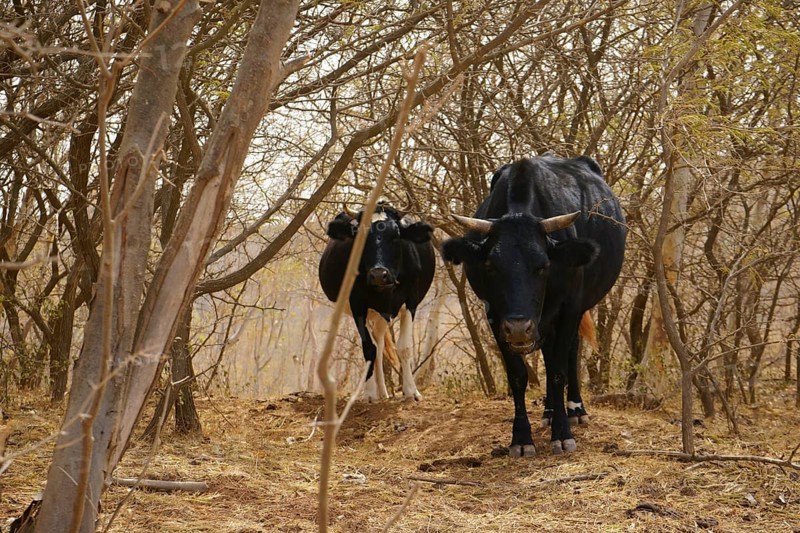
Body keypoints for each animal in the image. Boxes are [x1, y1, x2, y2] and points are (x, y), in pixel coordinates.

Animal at [318, 203, 435, 401]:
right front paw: (370, 393)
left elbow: (404, 348)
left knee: (380, 343)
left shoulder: (411, 301)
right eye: (361, 238)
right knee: (376, 345)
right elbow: (368, 349)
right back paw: (379, 391)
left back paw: (383, 391)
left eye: (396, 237)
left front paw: (411, 391)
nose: (379, 274)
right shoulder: (357, 304)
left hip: (382, 314)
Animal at [441, 155, 626, 456]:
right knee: (550, 355)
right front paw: (521, 438)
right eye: (491, 266)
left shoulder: (569, 307)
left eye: (543, 266)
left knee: (568, 353)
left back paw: (574, 409)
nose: (519, 328)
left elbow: (559, 370)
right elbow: (518, 375)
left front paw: (562, 434)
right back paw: (550, 410)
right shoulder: (495, 315)